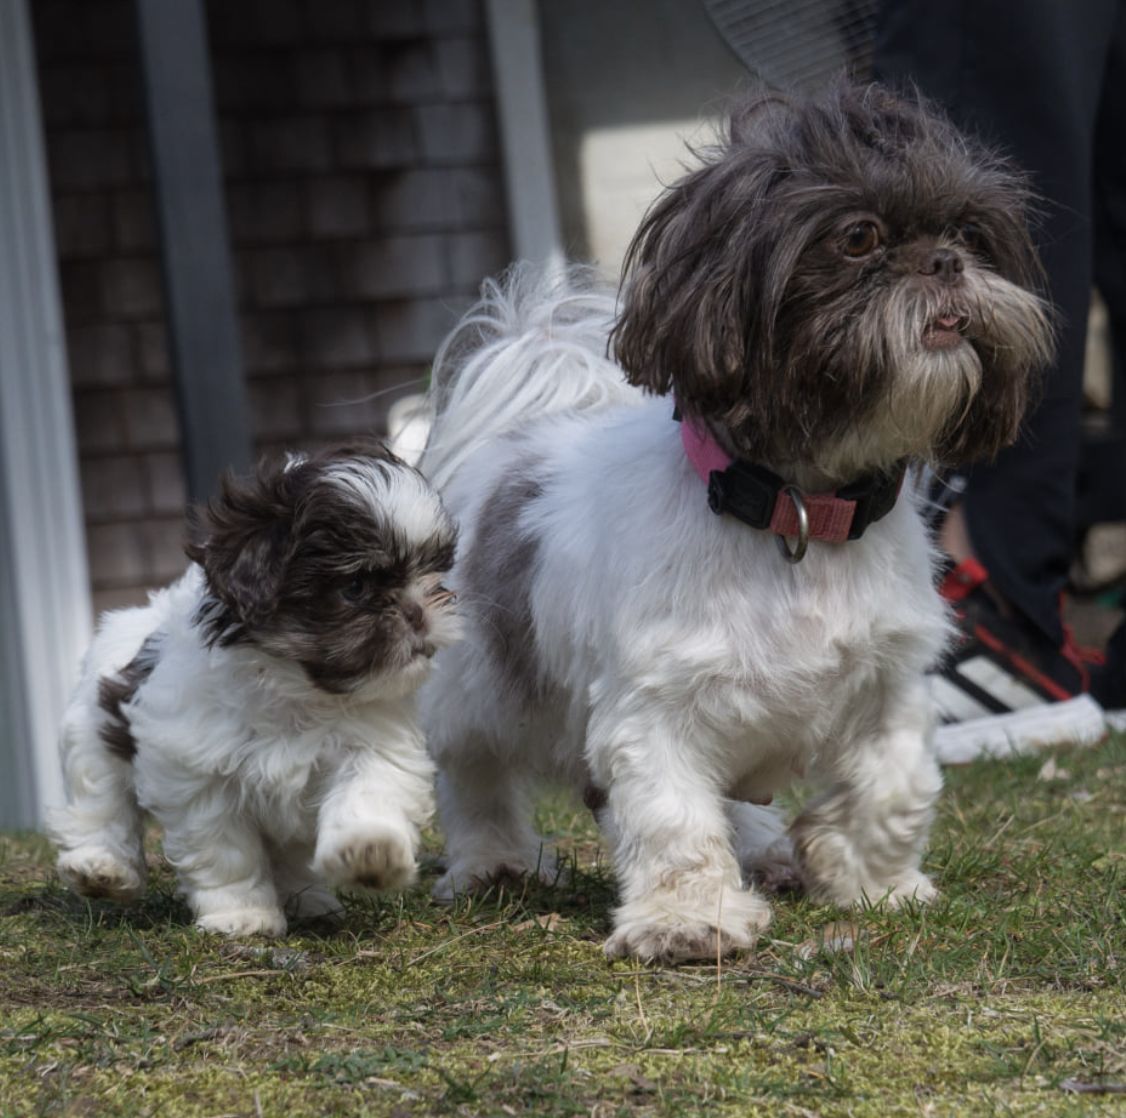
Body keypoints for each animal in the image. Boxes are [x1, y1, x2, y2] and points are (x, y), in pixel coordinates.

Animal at [50, 445, 459, 932]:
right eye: (355, 586)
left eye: (432, 574)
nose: (419, 611)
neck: (297, 691)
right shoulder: (199, 773)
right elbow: (226, 851)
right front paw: (242, 914)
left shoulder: (372, 746)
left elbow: (368, 792)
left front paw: (369, 852)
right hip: (95, 728)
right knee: (101, 800)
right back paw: (101, 867)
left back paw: (309, 900)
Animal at [418, 85, 1049, 959]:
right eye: (860, 237)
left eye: (968, 234)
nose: (947, 263)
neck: (799, 515)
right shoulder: (656, 712)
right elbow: (673, 821)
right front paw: (689, 920)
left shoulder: (891, 686)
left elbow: (896, 786)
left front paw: (869, 878)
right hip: (481, 687)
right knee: (472, 772)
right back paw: (495, 864)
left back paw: (770, 853)